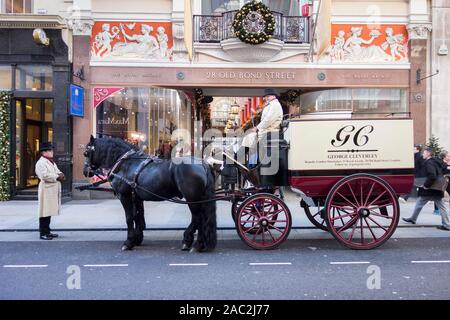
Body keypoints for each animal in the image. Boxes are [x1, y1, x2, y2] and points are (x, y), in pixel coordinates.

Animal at [85, 135, 219, 252]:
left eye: (86, 153)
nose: (85, 171)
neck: (126, 164)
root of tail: (202, 163)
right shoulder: (136, 197)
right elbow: (138, 216)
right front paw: (137, 238)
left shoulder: (124, 196)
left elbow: (129, 218)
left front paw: (128, 242)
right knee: (201, 217)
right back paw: (195, 242)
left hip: (192, 197)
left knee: (198, 217)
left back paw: (193, 242)